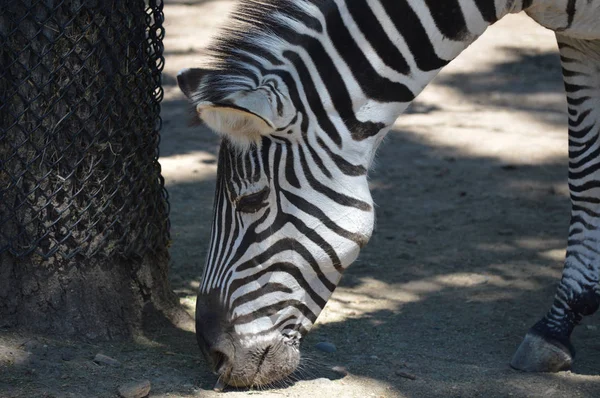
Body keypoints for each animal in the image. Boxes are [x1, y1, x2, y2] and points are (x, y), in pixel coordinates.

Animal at [176, 0, 600, 388]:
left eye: (252, 202)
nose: (211, 355)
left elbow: (586, 174)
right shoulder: (577, 37)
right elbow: (585, 171)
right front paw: (559, 325)